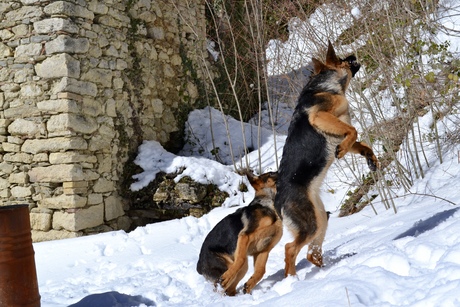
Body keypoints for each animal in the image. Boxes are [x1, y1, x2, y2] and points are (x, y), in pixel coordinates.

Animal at [274, 39, 378, 278]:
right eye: (341, 58)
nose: (353, 53)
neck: (324, 86)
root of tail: (277, 199)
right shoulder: (320, 117)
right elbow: (353, 130)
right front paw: (341, 151)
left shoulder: (337, 131)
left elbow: (362, 144)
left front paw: (371, 160)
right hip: (311, 224)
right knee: (290, 249)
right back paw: (293, 279)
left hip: (320, 218)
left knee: (310, 253)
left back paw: (326, 270)